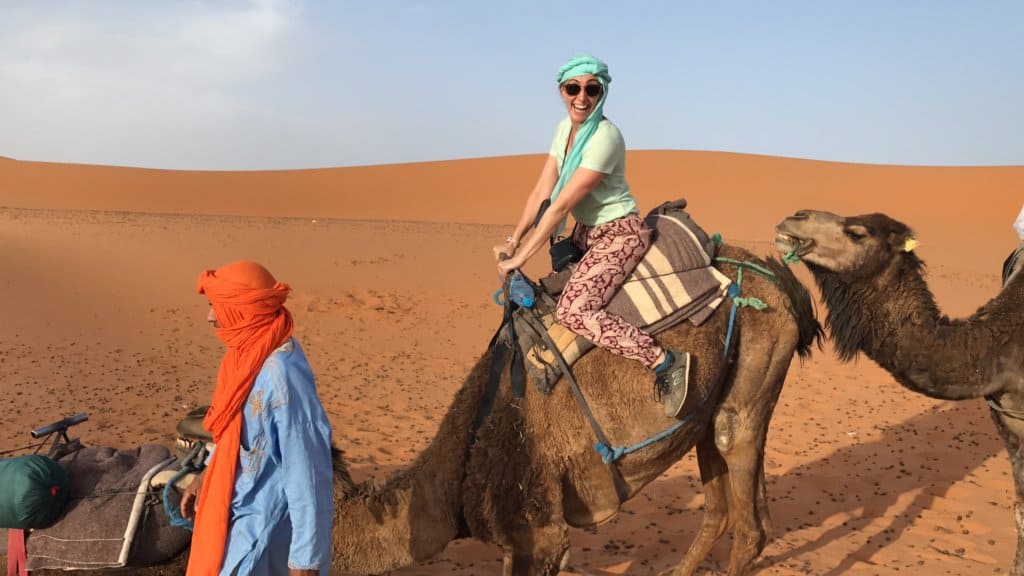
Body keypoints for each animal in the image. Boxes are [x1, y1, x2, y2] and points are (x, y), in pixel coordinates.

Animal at [2, 242, 815, 573]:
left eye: (200, 484)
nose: (177, 523)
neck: (447, 488)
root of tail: (778, 273)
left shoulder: (536, 531)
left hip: (751, 381)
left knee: (746, 514)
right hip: (714, 403)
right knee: (724, 506)